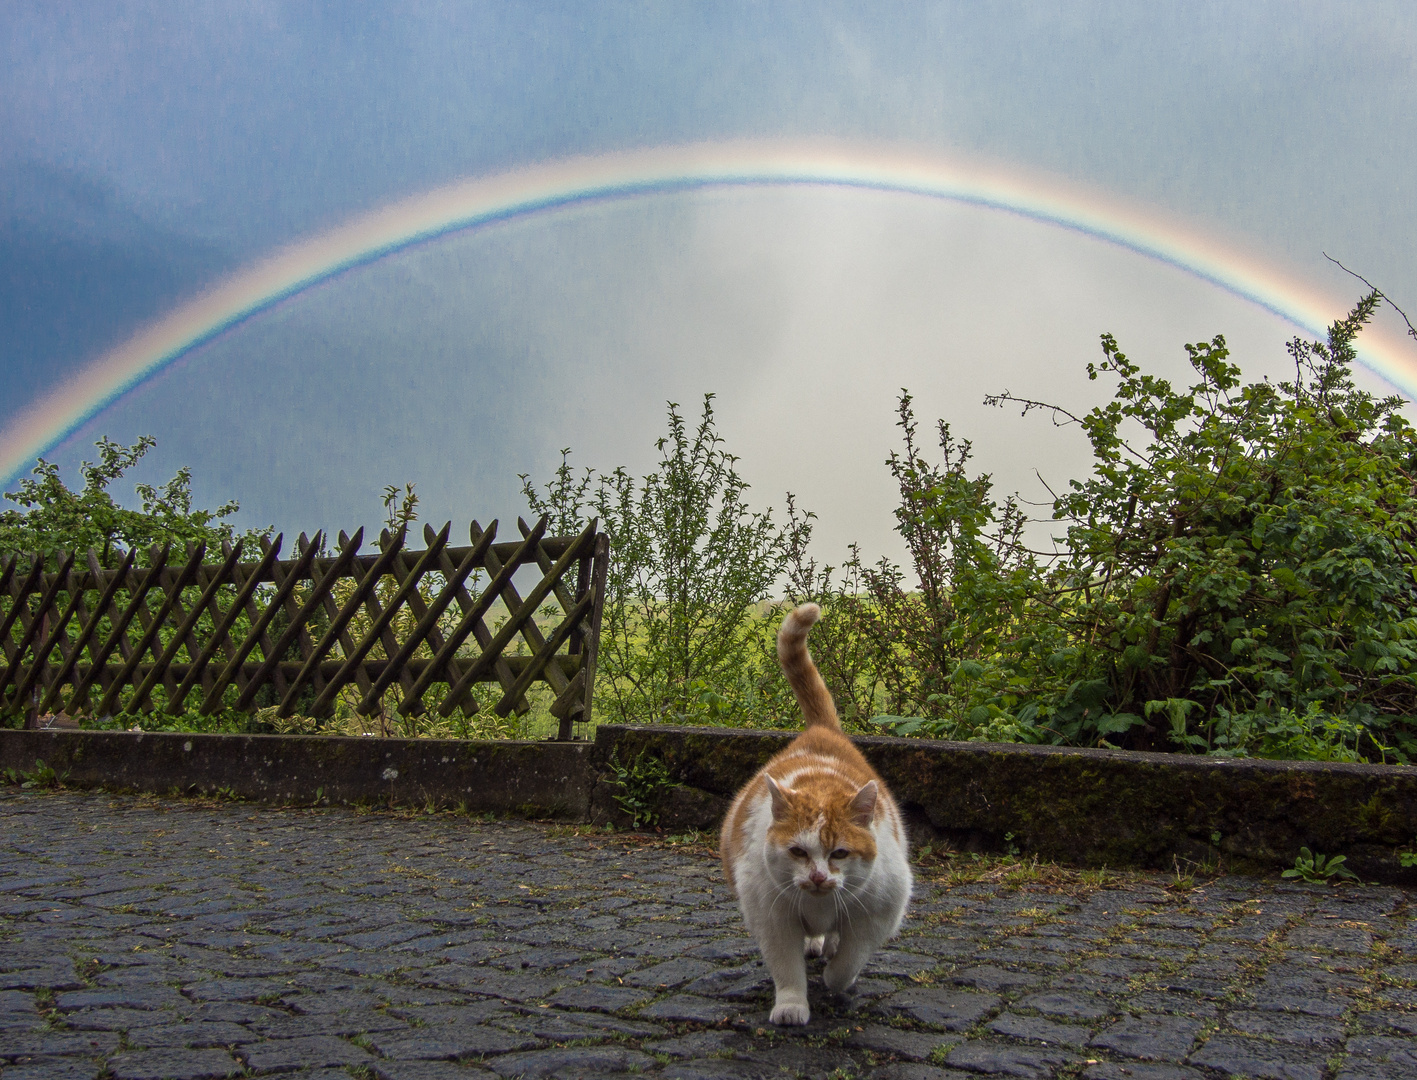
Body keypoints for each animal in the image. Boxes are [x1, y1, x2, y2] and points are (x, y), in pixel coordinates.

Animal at [719, 600, 906, 1020]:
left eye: (840, 853)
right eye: (798, 852)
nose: (819, 877)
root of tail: (821, 731)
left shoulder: (879, 913)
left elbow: (850, 961)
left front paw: (836, 980)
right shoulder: (772, 919)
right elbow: (786, 968)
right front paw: (792, 1006)